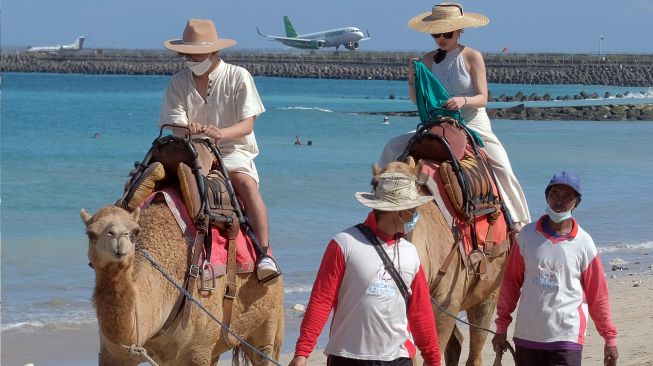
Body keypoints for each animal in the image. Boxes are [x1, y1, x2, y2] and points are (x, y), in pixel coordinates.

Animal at [79, 203, 282, 366]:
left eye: (135, 232)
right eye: (91, 234)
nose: (118, 237)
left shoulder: (197, 351)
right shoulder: (114, 354)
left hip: (270, 320)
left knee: (266, 351)